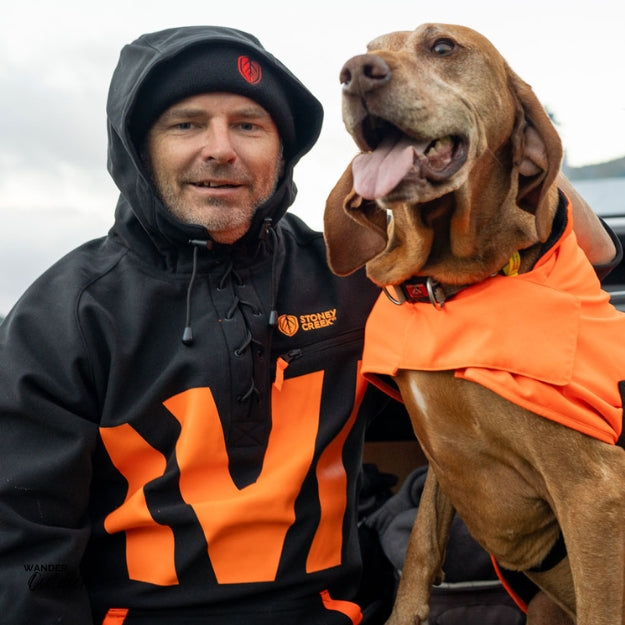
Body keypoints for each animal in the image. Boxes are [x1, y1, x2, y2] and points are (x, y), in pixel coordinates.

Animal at [324, 23, 625, 624]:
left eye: (442, 46)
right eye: (371, 47)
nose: (354, 73)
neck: (446, 289)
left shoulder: (594, 495)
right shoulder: (443, 456)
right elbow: (420, 546)